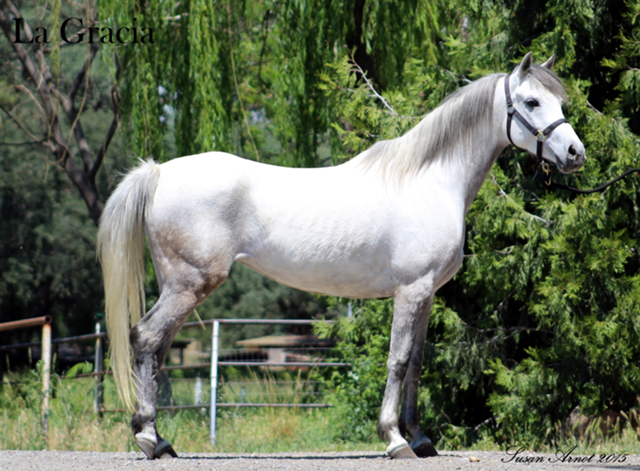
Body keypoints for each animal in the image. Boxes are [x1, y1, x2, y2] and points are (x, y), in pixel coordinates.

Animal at [97, 52, 585, 460]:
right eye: (531, 101)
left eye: (559, 100)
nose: (575, 153)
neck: (430, 180)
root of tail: (159, 172)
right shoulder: (410, 291)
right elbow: (397, 360)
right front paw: (395, 439)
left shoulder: (427, 295)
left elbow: (417, 364)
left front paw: (421, 438)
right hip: (189, 284)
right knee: (146, 339)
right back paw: (149, 439)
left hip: (179, 286)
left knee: (155, 347)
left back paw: (158, 438)